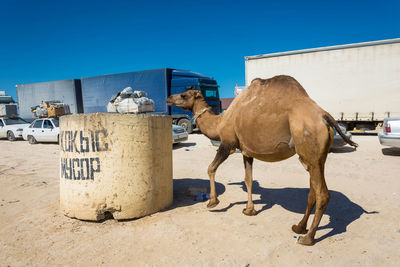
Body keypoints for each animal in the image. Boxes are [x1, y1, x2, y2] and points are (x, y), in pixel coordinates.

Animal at [166, 75, 356, 247]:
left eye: (183, 95)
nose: (168, 98)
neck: (220, 122)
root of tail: (325, 116)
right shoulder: (247, 151)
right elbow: (248, 179)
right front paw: (249, 210)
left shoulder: (228, 144)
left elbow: (211, 168)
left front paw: (213, 202)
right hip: (315, 157)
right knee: (312, 192)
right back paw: (299, 227)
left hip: (309, 144)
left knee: (322, 194)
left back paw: (308, 238)